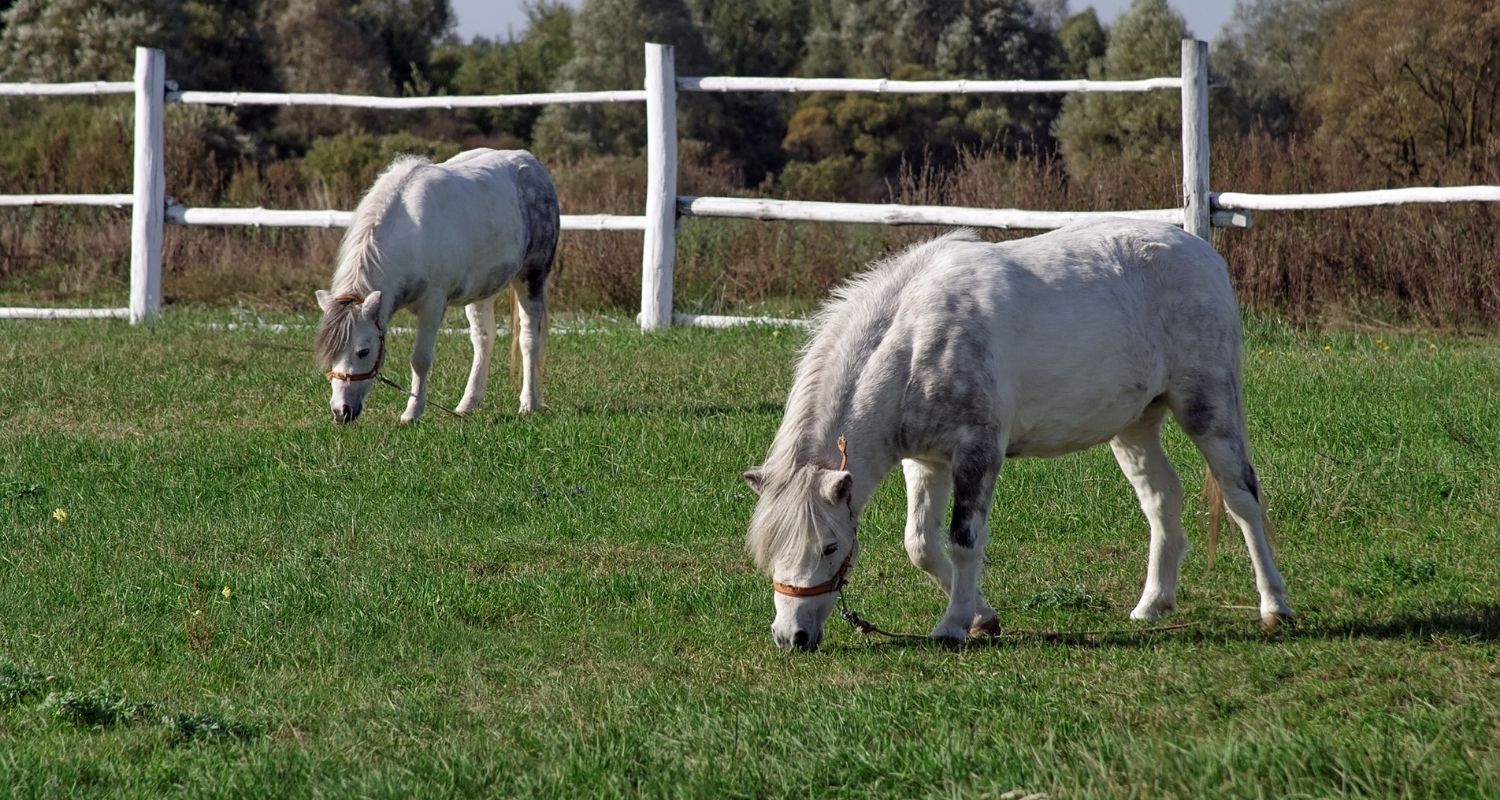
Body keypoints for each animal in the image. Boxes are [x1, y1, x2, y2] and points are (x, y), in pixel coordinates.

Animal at [315, 148, 558, 423]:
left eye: (363, 351)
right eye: (330, 352)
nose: (341, 411)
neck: (409, 236)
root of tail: (533, 164)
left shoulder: (432, 303)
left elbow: (420, 360)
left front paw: (412, 413)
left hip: (532, 276)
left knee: (528, 339)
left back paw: (529, 403)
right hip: (482, 288)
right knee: (484, 339)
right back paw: (468, 403)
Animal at [744, 217, 1296, 648]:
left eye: (829, 546)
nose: (791, 637)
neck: (914, 343)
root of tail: (1203, 254)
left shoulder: (978, 452)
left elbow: (964, 541)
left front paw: (952, 626)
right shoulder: (926, 462)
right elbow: (920, 545)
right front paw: (982, 617)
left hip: (1207, 407)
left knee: (1241, 498)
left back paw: (1274, 606)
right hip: (1134, 424)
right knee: (1161, 500)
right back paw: (1152, 604)